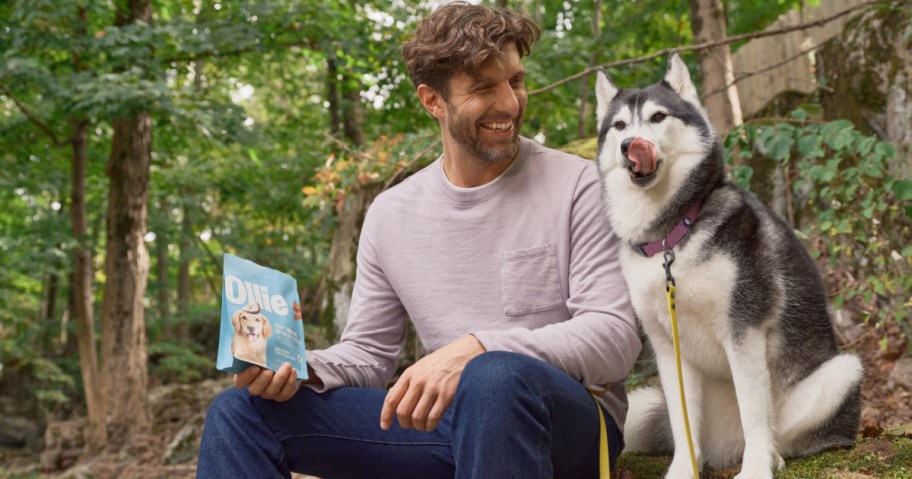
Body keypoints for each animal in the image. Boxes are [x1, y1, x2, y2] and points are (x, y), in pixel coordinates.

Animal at [596, 53, 864, 479]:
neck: (672, 236)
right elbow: (682, 422)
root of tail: (728, 447)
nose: (629, 145)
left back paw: (771, 455)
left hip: (842, 372)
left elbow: (754, 410)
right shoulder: (667, 346)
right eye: (619, 125)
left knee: (783, 431)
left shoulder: (743, 330)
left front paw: (756, 469)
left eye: (657, 117)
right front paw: (683, 470)